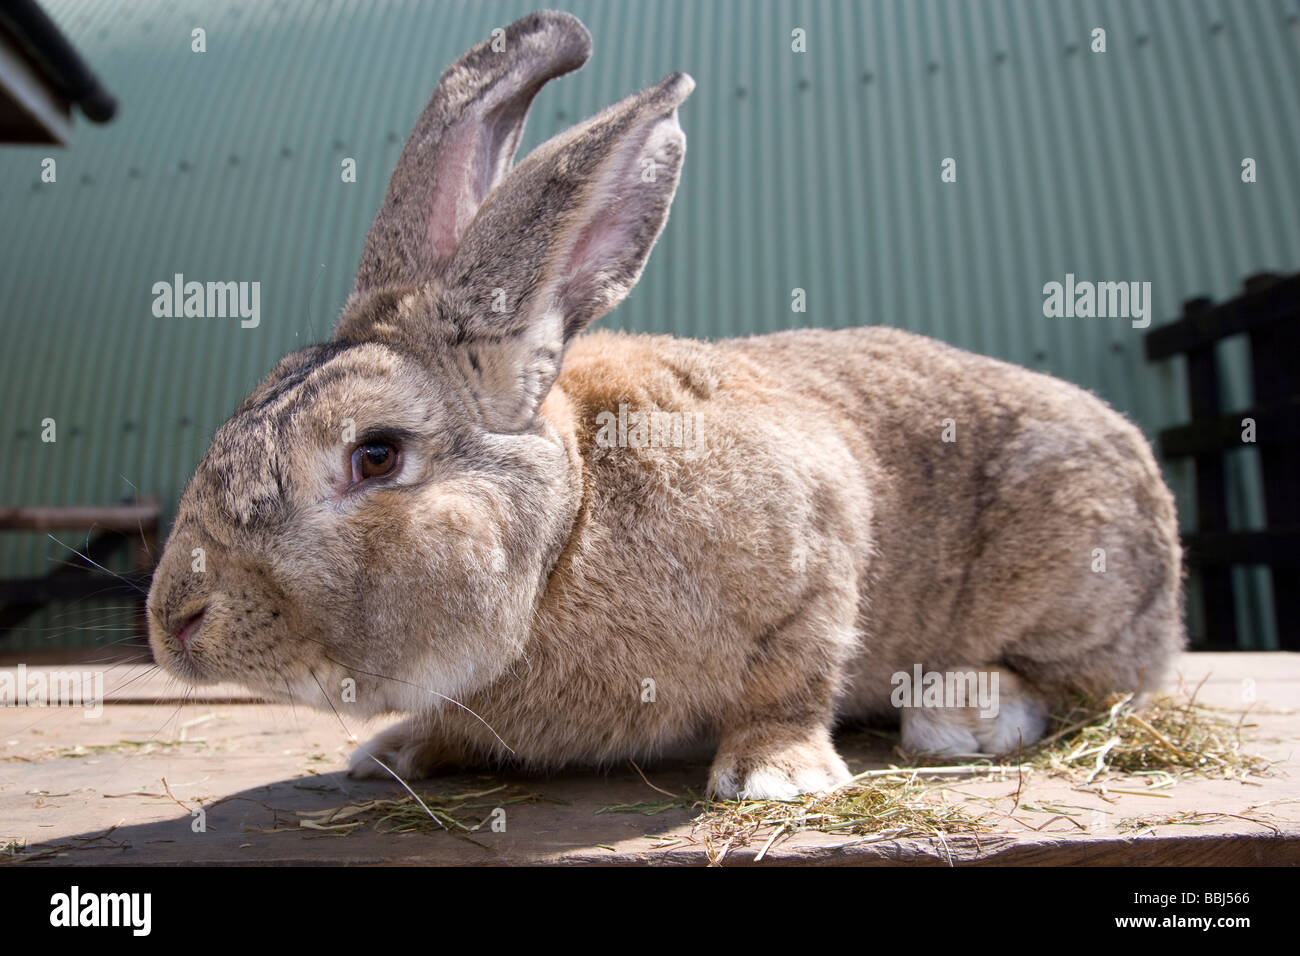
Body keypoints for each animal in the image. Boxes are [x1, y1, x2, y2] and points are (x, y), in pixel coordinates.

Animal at [147, 9, 1185, 801]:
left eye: (376, 455)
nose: (174, 619)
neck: (569, 533)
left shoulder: (817, 551)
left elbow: (791, 679)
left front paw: (775, 777)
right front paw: (392, 752)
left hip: (1072, 577)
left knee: (1091, 687)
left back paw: (959, 714)